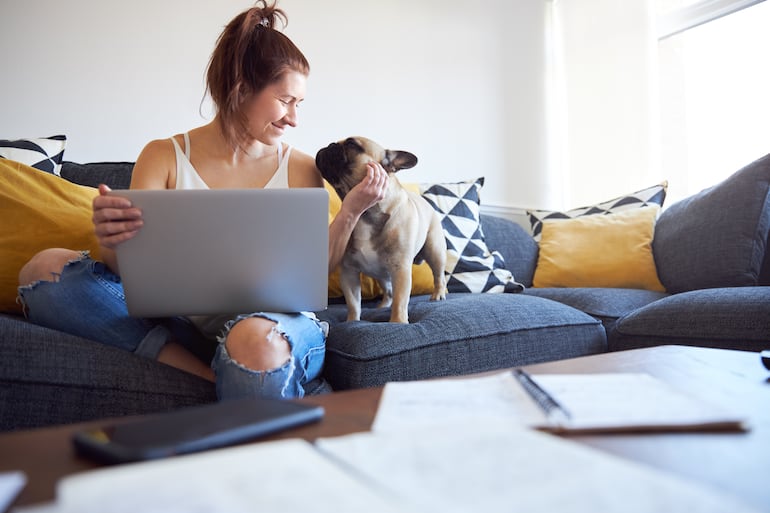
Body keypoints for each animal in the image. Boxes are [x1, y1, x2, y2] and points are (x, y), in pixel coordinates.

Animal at [314, 134, 444, 322]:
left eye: (351, 144)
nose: (330, 144)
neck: (364, 215)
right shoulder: (348, 272)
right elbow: (353, 303)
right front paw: (352, 321)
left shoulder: (400, 269)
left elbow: (400, 302)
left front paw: (398, 322)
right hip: (382, 274)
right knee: (388, 292)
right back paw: (382, 306)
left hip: (435, 250)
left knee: (438, 275)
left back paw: (438, 295)